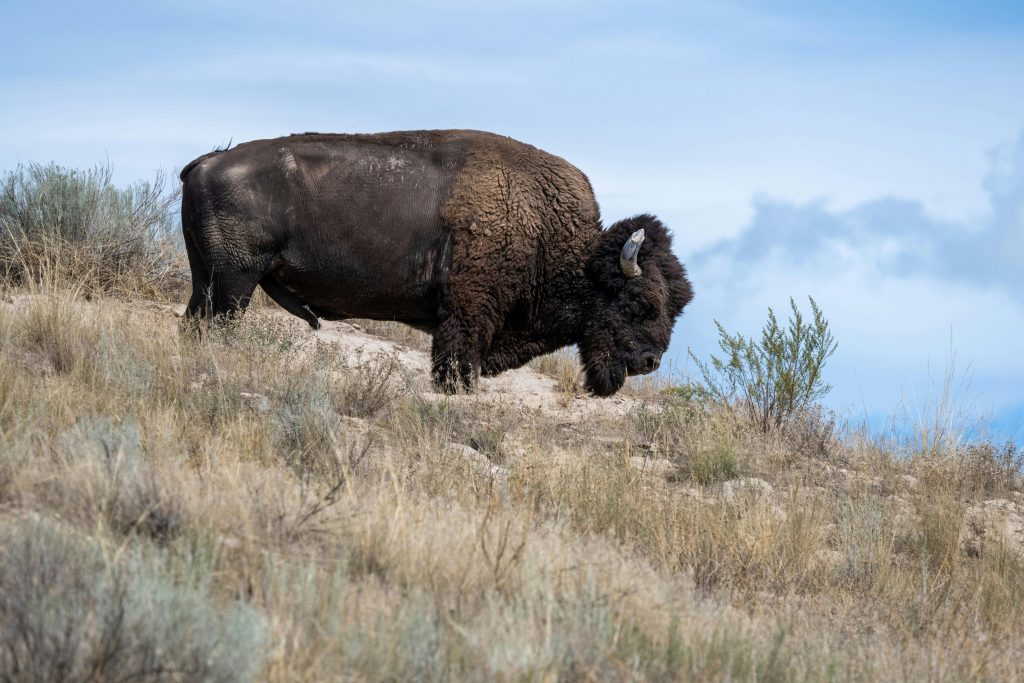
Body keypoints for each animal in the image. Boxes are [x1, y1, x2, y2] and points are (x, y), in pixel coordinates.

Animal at [180, 130, 692, 396]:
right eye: (639, 304)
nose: (649, 362)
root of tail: (205, 162)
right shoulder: (467, 318)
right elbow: (456, 367)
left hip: (207, 279)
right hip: (235, 282)